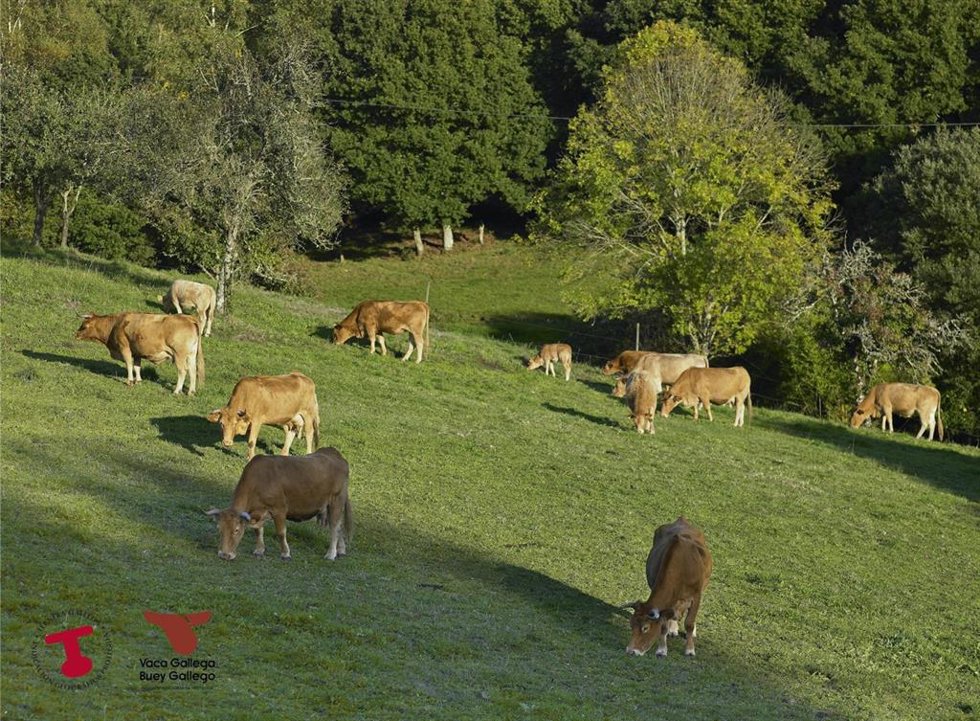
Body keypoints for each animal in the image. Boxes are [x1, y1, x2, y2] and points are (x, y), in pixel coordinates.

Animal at [75, 312, 204, 395]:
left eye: (84, 326)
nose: (76, 334)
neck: (116, 324)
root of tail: (189, 318)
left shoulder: (124, 347)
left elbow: (129, 364)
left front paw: (130, 381)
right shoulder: (137, 352)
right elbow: (137, 367)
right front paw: (139, 381)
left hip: (179, 355)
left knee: (183, 371)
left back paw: (176, 391)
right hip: (191, 355)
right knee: (193, 371)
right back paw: (191, 392)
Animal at [206, 447, 352, 561]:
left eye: (236, 530)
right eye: (219, 529)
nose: (224, 555)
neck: (260, 480)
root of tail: (335, 454)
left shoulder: (279, 509)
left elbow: (281, 532)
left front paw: (285, 553)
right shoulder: (258, 511)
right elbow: (258, 530)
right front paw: (259, 550)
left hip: (336, 500)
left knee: (334, 527)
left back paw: (331, 554)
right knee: (338, 526)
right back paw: (341, 550)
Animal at [624, 517, 713, 658]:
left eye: (645, 628)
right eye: (631, 625)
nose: (631, 651)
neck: (682, 567)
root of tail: (682, 519)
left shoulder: (696, 595)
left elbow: (689, 623)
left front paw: (690, 649)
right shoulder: (668, 603)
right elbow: (664, 624)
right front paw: (662, 649)